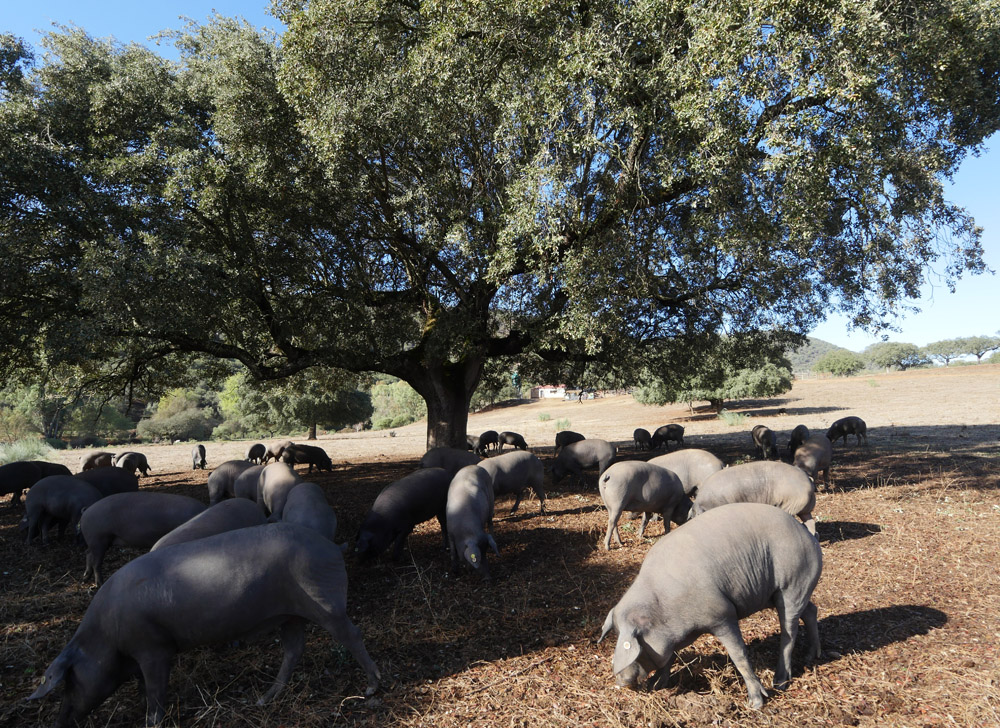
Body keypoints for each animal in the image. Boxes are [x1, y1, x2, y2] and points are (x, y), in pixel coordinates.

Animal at [28, 523, 380, 727]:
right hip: (289, 615)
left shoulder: (154, 648)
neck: (106, 637)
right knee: (294, 650)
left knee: (351, 634)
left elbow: (155, 689)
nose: (59, 722)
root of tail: (332, 546)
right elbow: (145, 687)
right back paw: (263, 699)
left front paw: (152, 721)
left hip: (324, 601)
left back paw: (372, 686)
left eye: (70, 680)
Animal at [598, 502, 822, 708]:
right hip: (782, 594)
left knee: (789, 632)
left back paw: (779, 683)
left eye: (633, 646)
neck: (663, 608)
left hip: (792, 585)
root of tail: (809, 537)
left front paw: (755, 704)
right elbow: (668, 658)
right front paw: (656, 685)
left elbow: (739, 655)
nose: (620, 681)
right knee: (811, 611)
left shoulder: (722, 616)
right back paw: (812, 657)